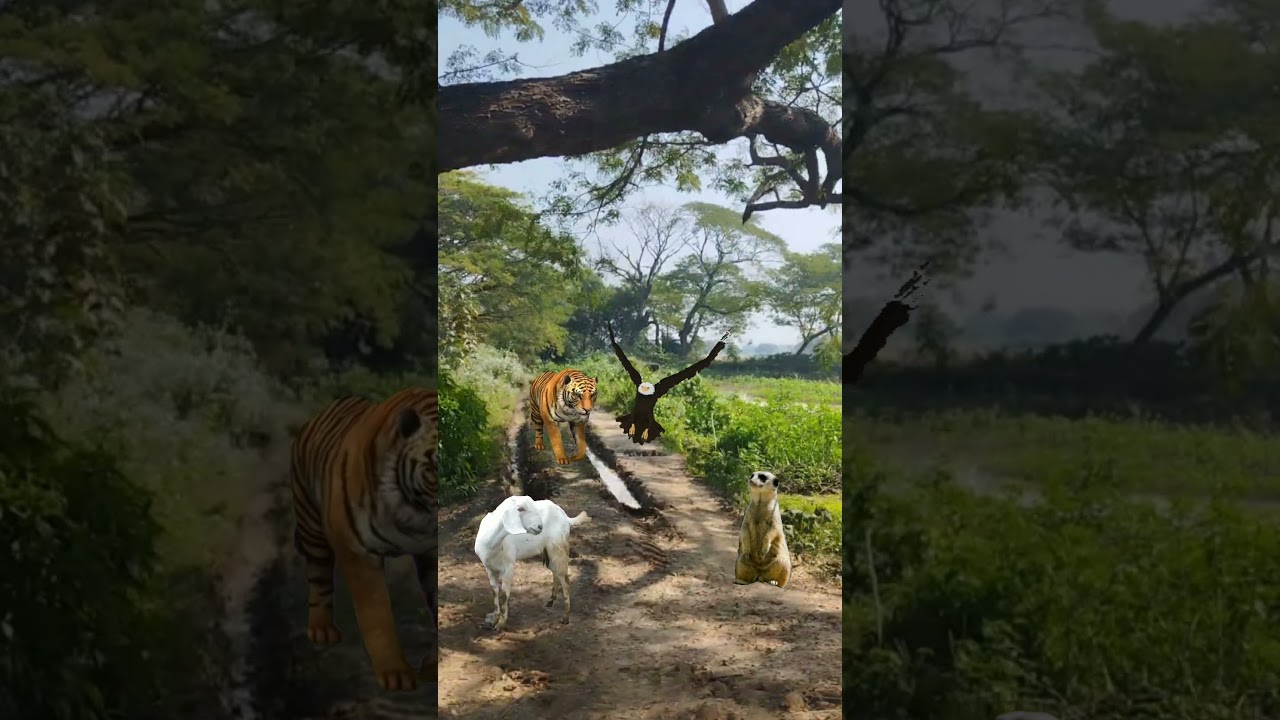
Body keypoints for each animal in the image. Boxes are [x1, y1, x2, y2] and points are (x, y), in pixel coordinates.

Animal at [290, 386, 438, 692]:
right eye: (434, 469)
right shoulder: (357, 552)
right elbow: (376, 614)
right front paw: (396, 674)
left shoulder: (431, 553)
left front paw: (432, 664)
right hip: (311, 523)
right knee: (319, 577)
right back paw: (321, 629)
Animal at [474, 494, 591, 631]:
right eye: (520, 509)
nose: (540, 527)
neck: (492, 545)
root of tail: (565, 517)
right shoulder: (489, 568)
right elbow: (495, 591)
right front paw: (494, 620)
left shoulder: (508, 568)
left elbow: (504, 594)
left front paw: (501, 624)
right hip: (548, 551)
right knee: (556, 572)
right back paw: (551, 600)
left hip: (558, 546)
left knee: (565, 579)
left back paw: (565, 617)